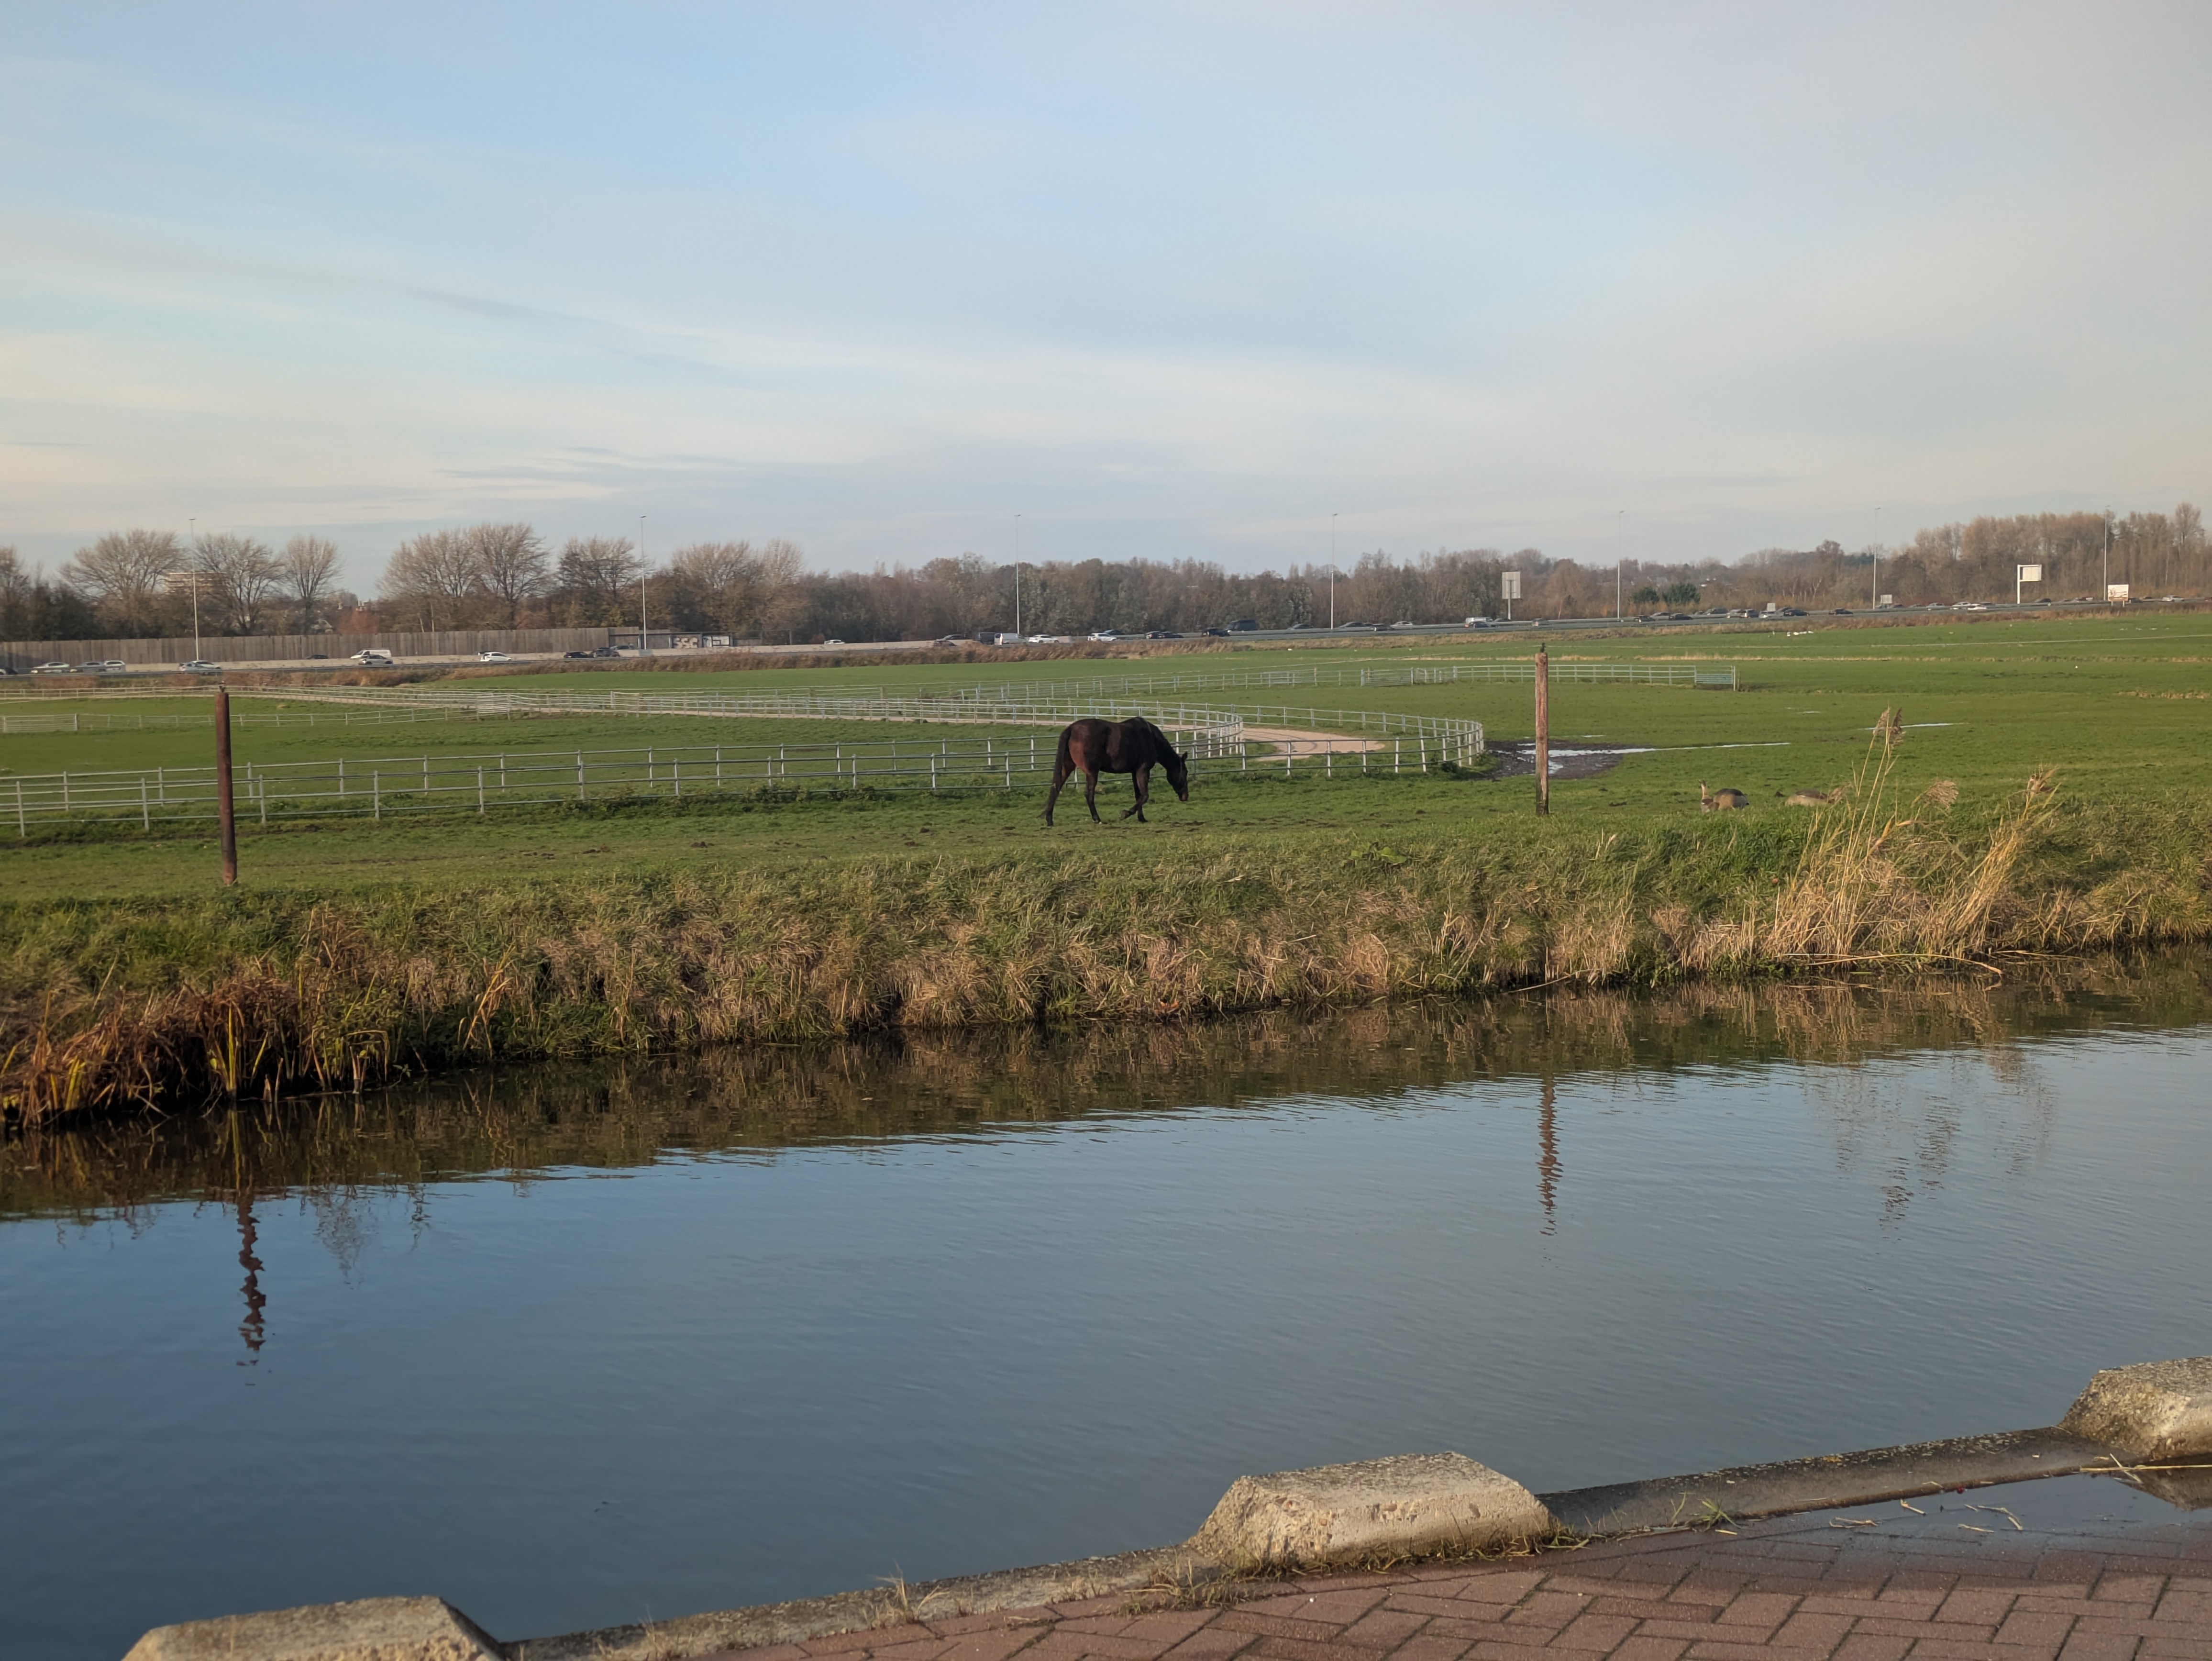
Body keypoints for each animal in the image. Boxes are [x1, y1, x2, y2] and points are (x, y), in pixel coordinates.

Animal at [1045, 716, 1191, 826]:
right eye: (1185, 772)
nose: (1185, 797)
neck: (1151, 738)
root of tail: (1071, 729)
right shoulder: (1143, 771)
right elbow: (1145, 795)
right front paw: (1125, 814)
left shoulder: (1134, 772)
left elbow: (1139, 795)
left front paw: (1141, 818)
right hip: (1092, 772)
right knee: (1089, 794)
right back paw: (1097, 819)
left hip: (1067, 768)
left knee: (1056, 789)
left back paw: (1049, 820)